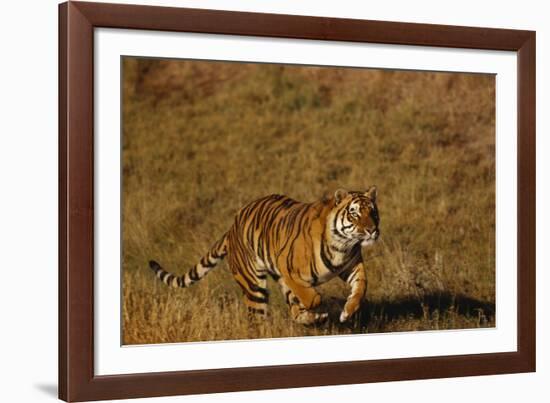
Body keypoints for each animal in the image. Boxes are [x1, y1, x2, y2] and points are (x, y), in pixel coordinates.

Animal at [151, 187, 384, 326]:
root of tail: (231, 228)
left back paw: (313, 318)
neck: (341, 246)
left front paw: (348, 311)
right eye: (354, 214)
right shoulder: (288, 268)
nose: (372, 230)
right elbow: (311, 296)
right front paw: (320, 304)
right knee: (258, 318)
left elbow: (361, 287)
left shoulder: (351, 265)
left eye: (373, 212)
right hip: (254, 286)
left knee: (294, 310)